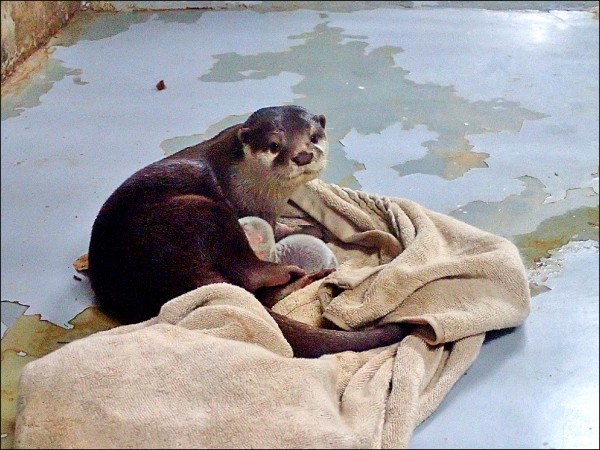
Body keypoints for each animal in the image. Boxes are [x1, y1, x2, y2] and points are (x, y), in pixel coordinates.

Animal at [86, 105, 410, 358]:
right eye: (274, 145)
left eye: (314, 137)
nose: (303, 155)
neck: (248, 183)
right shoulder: (249, 208)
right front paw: (308, 231)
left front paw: (308, 227)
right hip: (197, 211)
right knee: (250, 274)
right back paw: (293, 274)